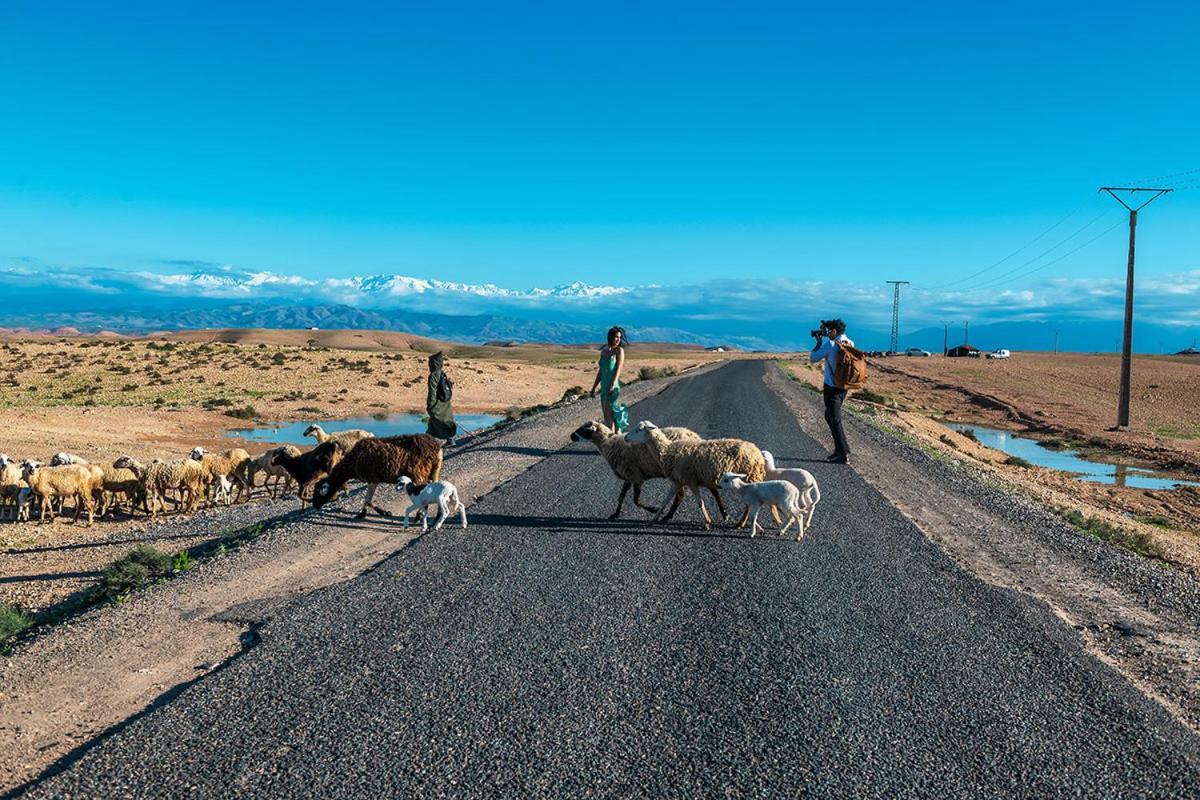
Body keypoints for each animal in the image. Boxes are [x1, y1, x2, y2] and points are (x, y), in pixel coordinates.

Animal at [312, 438, 444, 520]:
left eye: (319, 492)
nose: (315, 506)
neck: (352, 463)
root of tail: (435, 447)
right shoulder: (372, 480)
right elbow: (367, 499)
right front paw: (364, 514)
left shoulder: (372, 479)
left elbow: (367, 500)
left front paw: (381, 512)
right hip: (435, 471)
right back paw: (437, 516)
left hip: (419, 474)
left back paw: (418, 516)